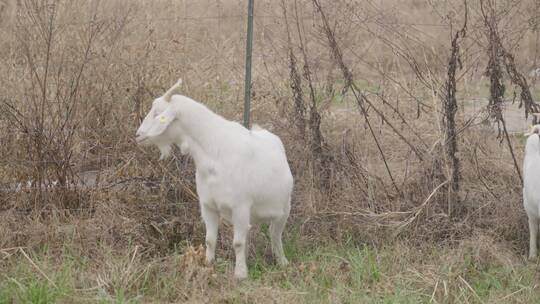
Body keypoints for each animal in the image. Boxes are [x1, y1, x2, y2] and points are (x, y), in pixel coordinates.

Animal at [137, 79, 294, 280]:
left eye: (158, 113)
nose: (138, 135)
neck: (213, 155)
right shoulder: (208, 206)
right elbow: (210, 240)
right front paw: (208, 264)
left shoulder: (240, 206)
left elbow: (237, 243)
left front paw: (240, 274)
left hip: (284, 208)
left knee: (275, 234)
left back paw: (282, 262)